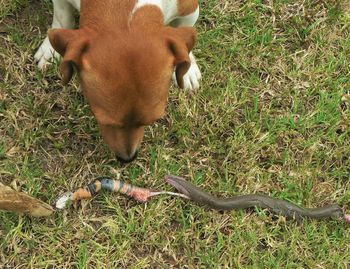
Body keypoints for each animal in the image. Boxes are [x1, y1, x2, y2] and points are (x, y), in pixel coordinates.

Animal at [34, 0, 202, 161]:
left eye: (151, 121)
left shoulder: (190, 9)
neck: (123, 5)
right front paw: (50, 50)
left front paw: (188, 68)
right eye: (102, 120)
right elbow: (61, 20)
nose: (127, 159)